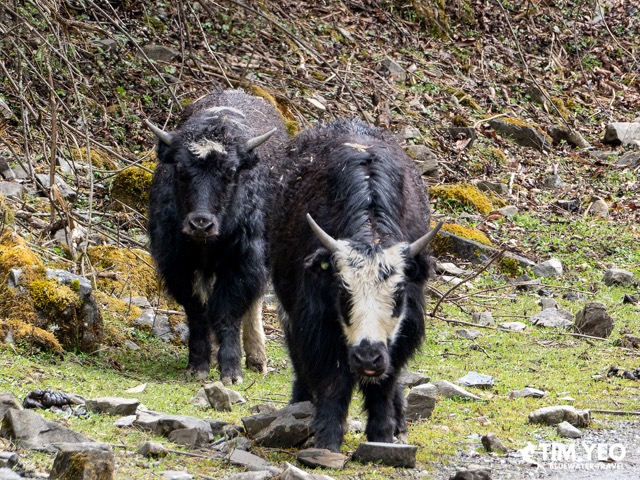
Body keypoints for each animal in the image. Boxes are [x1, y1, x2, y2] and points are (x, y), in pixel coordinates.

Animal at [146, 89, 288, 384]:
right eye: (180, 169)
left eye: (231, 171)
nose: (201, 224)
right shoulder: (177, 264)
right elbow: (197, 311)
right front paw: (198, 364)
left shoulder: (242, 262)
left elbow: (226, 312)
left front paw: (231, 371)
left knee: (254, 302)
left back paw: (257, 358)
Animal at [269, 119, 442, 451]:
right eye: (342, 291)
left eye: (398, 294)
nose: (367, 358)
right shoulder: (317, 321)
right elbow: (332, 382)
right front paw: (326, 441)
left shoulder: (404, 329)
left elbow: (384, 384)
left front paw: (383, 437)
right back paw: (298, 406)